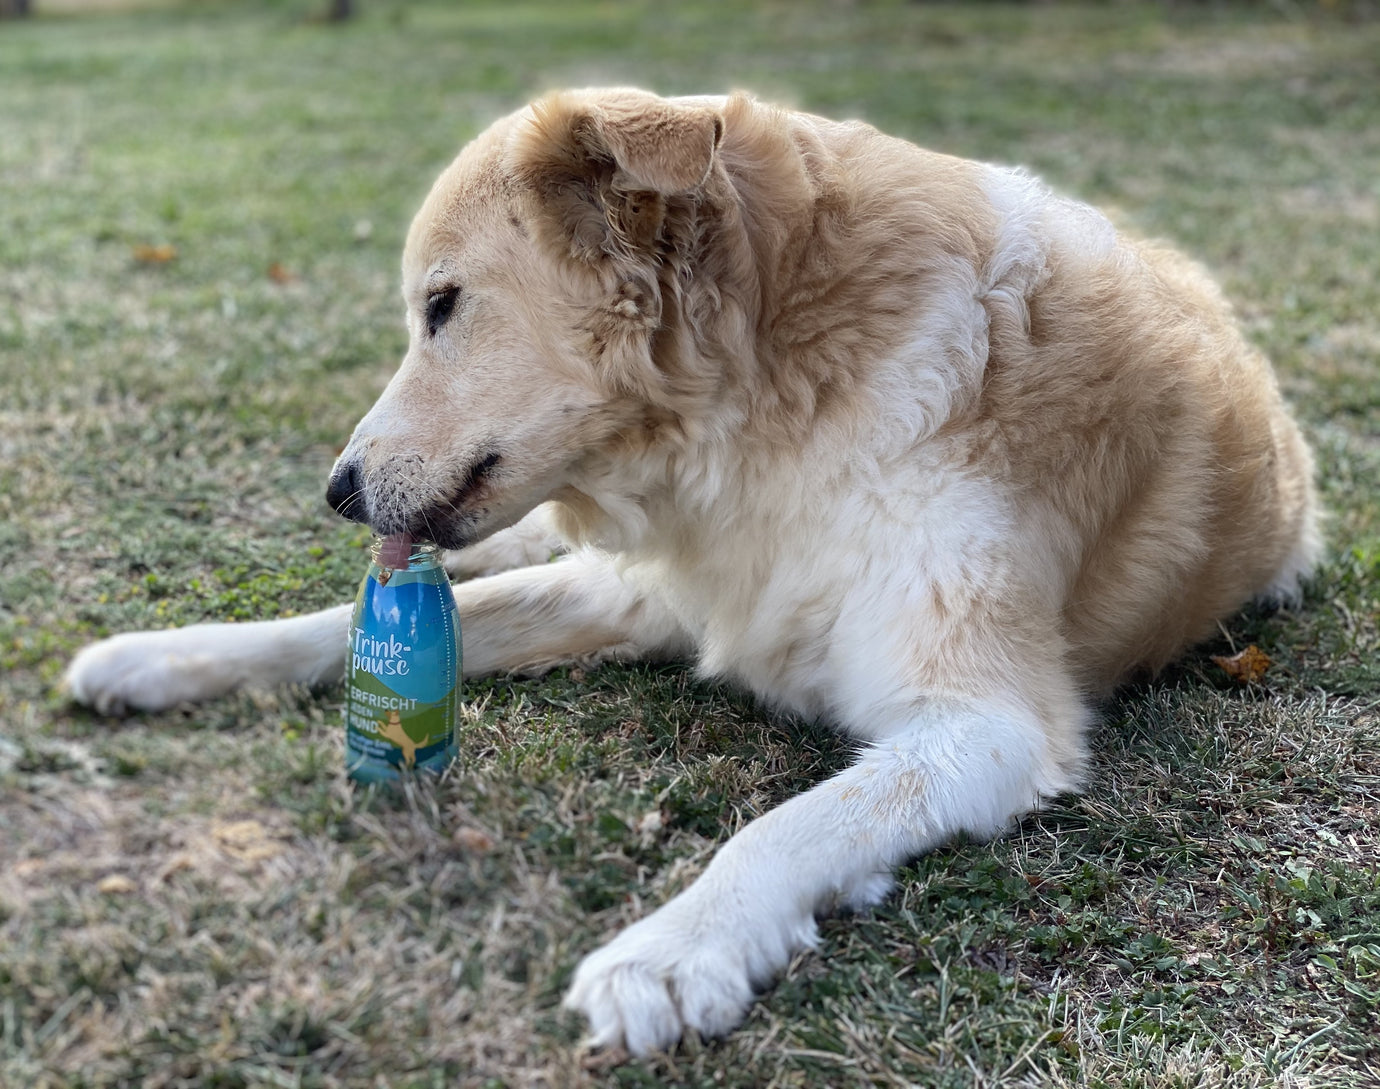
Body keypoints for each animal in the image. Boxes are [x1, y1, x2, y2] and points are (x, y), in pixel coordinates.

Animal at [70, 89, 1319, 1060]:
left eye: (442, 306)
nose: (338, 490)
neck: (780, 397)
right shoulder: (640, 589)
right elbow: (348, 622)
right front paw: (158, 660)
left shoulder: (986, 722)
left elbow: (787, 828)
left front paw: (670, 952)